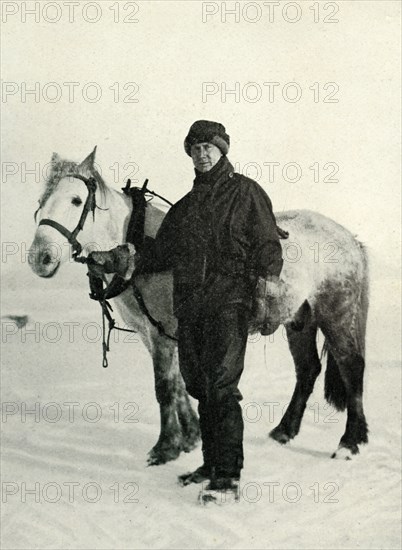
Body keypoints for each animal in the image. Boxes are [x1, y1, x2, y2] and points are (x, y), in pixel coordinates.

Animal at [27, 149, 368, 464]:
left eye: (75, 200)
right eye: (41, 202)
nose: (39, 258)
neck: (147, 248)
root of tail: (349, 238)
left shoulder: (163, 333)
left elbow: (165, 387)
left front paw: (165, 447)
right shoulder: (155, 333)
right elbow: (179, 384)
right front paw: (190, 437)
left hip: (338, 313)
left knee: (351, 367)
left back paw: (350, 442)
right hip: (299, 320)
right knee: (307, 369)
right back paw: (284, 430)